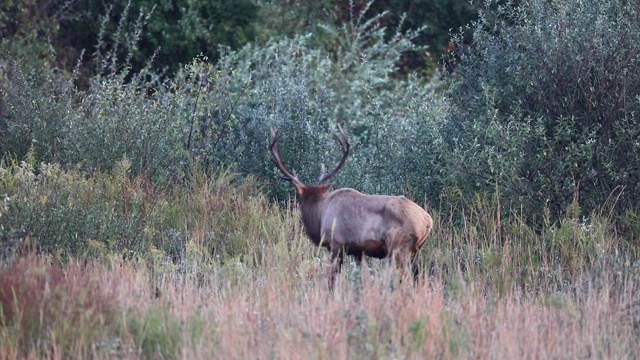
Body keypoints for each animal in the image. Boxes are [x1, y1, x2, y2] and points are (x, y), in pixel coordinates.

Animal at [268, 127, 432, 290]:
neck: (320, 215)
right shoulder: (357, 250)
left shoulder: (336, 244)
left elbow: (332, 279)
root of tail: (428, 221)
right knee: (418, 277)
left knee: (406, 278)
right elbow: (363, 278)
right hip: (415, 251)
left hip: (398, 248)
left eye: (301, 199)